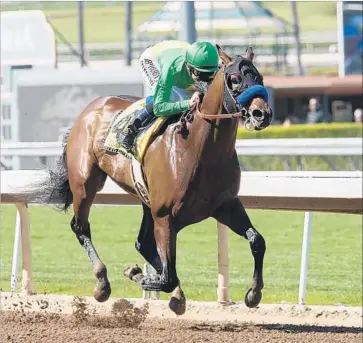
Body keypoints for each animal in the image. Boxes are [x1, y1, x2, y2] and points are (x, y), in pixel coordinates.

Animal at [24, 47, 272, 316]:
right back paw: (102, 283)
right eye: (234, 79)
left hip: (145, 201)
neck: (198, 149)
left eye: (259, 77)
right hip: (85, 183)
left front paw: (253, 293)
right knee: (80, 227)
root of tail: (89, 109)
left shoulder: (226, 206)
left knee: (142, 244)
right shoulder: (165, 216)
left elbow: (257, 241)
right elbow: (168, 277)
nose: (261, 114)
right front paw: (141, 276)